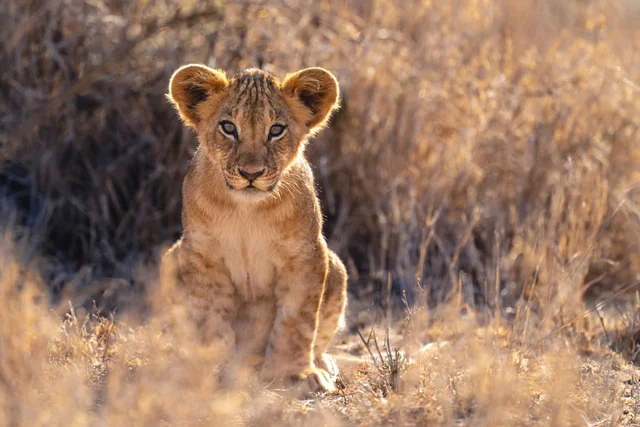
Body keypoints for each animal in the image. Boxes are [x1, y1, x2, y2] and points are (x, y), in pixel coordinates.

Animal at [160, 64, 348, 393]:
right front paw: (212, 366)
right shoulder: (200, 254)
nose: (251, 173)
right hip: (173, 258)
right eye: (228, 127)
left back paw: (322, 365)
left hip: (336, 267)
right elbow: (211, 317)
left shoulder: (307, 256)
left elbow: (296, 321)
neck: (247, 211)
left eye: (276, 130)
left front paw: (296, 373)